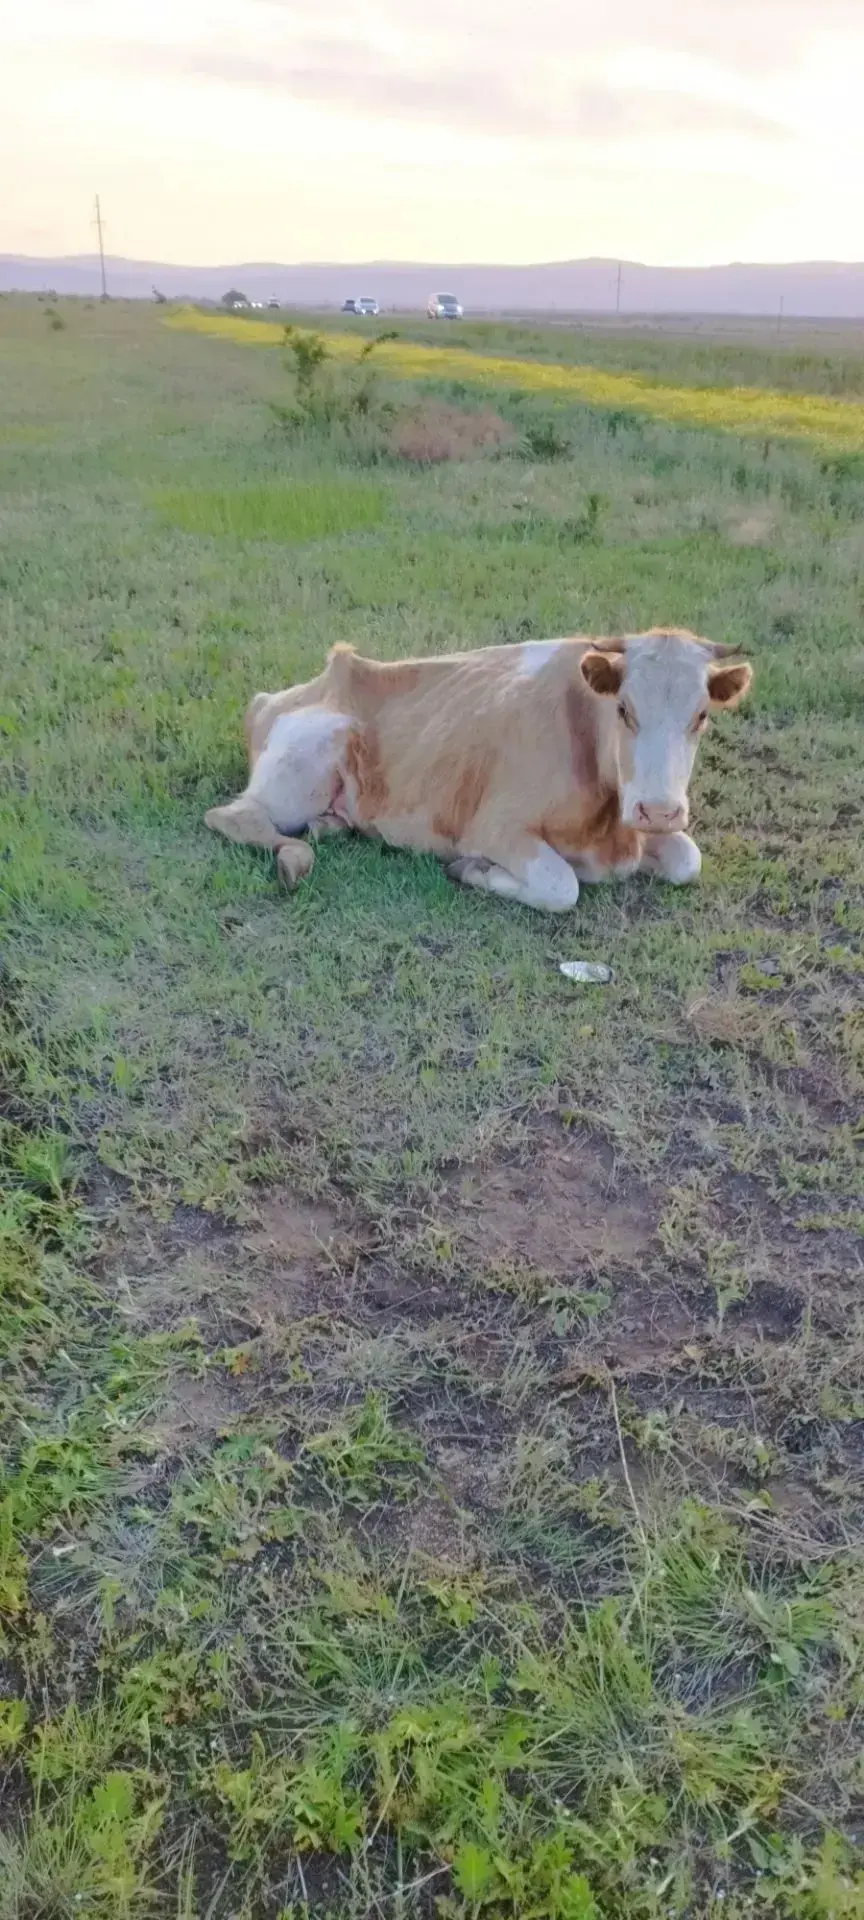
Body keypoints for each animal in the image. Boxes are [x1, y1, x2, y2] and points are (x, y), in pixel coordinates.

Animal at [204, 629, 752, 912]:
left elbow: (687, 860)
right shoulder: (494, 828)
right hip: (303, 762)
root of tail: (272, 697)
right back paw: (293, 856)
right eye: (624, 709)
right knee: (233, 816)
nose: (659, 811)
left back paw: (331, 826)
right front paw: (473, 871)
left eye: (701, 716)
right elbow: (561, 886)